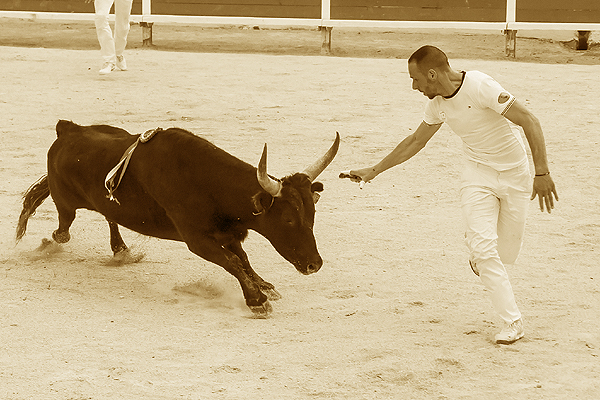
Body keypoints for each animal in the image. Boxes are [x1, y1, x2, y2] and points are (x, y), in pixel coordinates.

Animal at [16, 120, 340, 318]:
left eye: (312, 215)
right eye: (288, 220)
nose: (314, 264)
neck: (205, 182)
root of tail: (68, 129)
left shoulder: (227, 234)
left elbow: (243, 259)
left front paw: (264, 286)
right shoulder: (197, 240)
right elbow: (232, 262)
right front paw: (256, 300)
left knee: (104, 215)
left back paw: (121, 251)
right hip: (66, 205)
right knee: (61, 230)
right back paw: (43, 242)